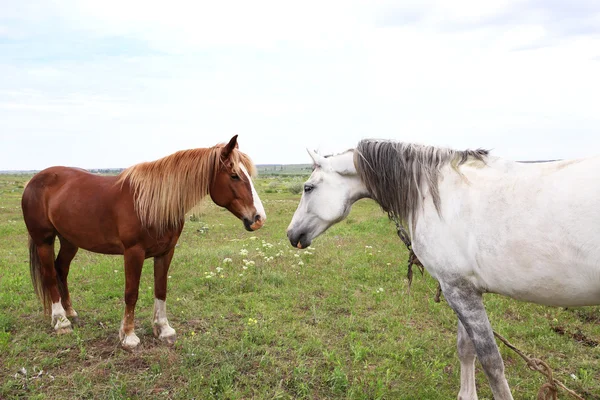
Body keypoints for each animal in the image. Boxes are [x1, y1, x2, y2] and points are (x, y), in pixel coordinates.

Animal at [21, 136, 264, 348]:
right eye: (234, 175)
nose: (258, 218)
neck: (152, 204)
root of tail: (34, 180)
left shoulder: (166, 252)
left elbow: (161, 289)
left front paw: (163, 330)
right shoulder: (133, 253)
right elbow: (131, 293)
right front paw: (128, 336)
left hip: (69, 240)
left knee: (61, 269)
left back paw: (70, 313)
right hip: (44, 240)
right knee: (50, 275)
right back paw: (61, 322)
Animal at [288, 139, 600, 398]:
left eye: (308, 188)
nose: (292, 235)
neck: (438, 195)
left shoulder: (457, 290)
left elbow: (491, 362)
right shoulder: (464, 288)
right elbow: (466, 349)